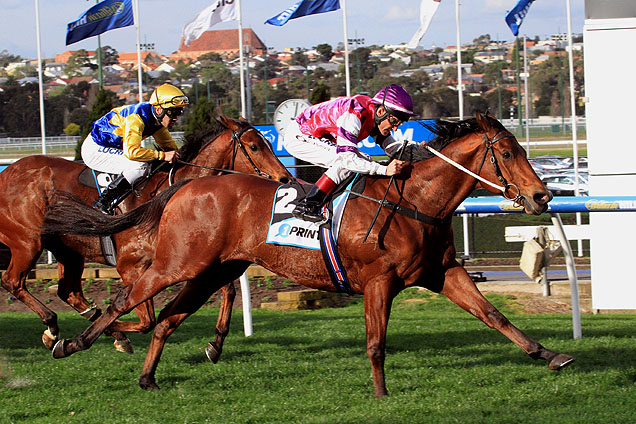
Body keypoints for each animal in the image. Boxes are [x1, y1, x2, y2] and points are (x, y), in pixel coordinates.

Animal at [0, 109, 292, 352]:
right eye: (254, 146)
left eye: (268, 144)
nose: (286, 178)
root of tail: (6, 173)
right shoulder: (133, 266)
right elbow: (147, 320)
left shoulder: (195, 259)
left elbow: (228, 290)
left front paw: (216, 343)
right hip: (28, 241)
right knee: (12, 281)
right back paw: (52, 325)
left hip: (67, 250)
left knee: (68, 291)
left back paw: (98, 330)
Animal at [42, 112, 572, 398]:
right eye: (508, 153)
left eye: (523, 149)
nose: (543, 196)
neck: (414, 202)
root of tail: (185, 188)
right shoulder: (378, 281)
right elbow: (376, 343)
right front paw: (381, 394)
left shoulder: (442, 272)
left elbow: (494, 316)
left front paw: (550, 355)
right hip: (178, 263)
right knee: (124, 301)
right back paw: (71, 342)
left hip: (213, 270)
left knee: (167, 320)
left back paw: (149, 377)